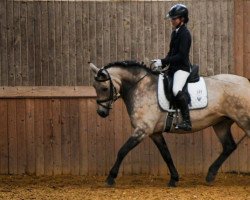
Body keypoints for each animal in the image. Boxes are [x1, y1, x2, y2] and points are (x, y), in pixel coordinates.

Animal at [89, 61, 249, 188]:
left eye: (104, 88)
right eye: (94, 87)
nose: (101, 113)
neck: (142, 87)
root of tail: (246, 82)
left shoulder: (142, 130)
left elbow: (123, 151)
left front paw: (110, 178)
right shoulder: (155, 133)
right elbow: (166, 154)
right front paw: (174, 179)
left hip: (244, 121)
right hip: (221, 123)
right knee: (229, 146)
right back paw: (210, 175)